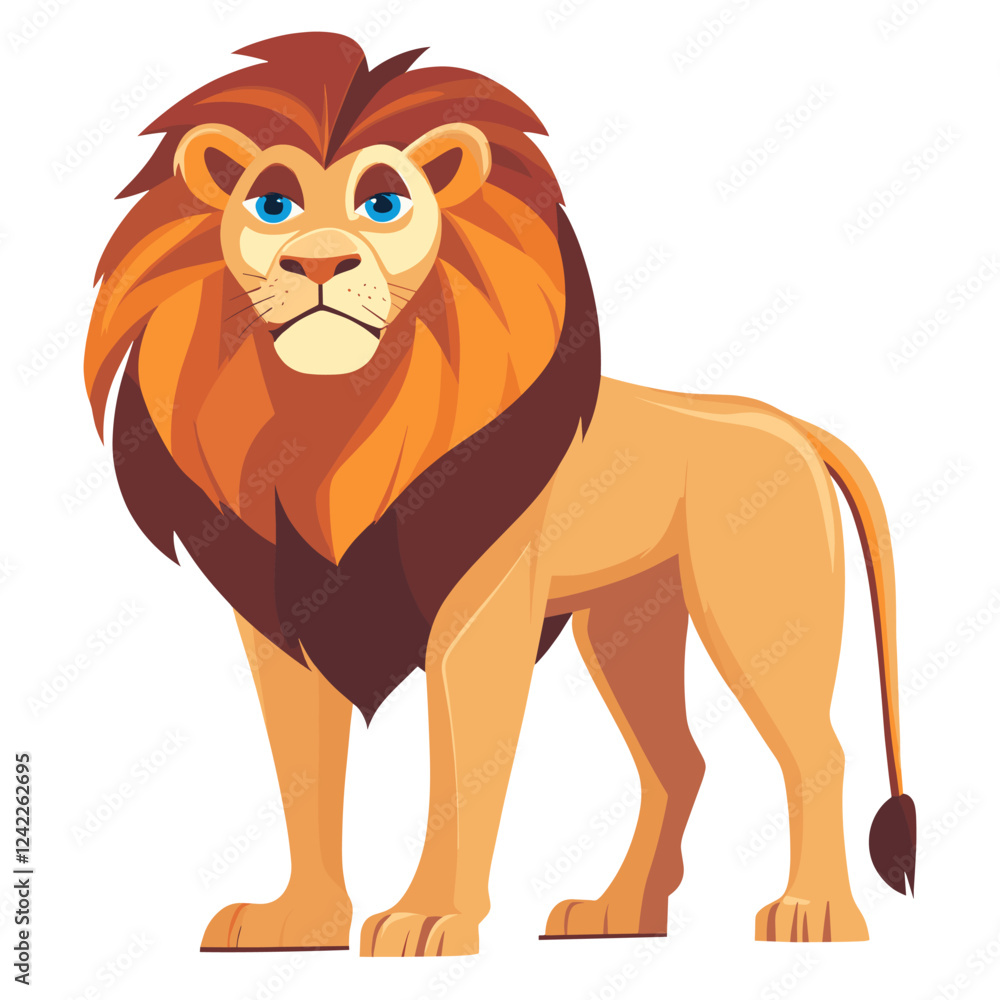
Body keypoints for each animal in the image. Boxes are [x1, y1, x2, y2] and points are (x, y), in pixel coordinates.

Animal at [83, 32, 915, 956]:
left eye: (383, 202)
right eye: (271, 203)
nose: (320, 261)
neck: (334, 422)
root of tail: (795, 425)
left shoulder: (477, 615)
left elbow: (461, 772)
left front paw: (429, 917)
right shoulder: (281, 622)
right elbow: (305, 773)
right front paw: (301, 921)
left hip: (759, 610)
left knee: (817, 752)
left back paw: (817, 913)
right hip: (628, 622)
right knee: (678, 762)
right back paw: (616, 915)